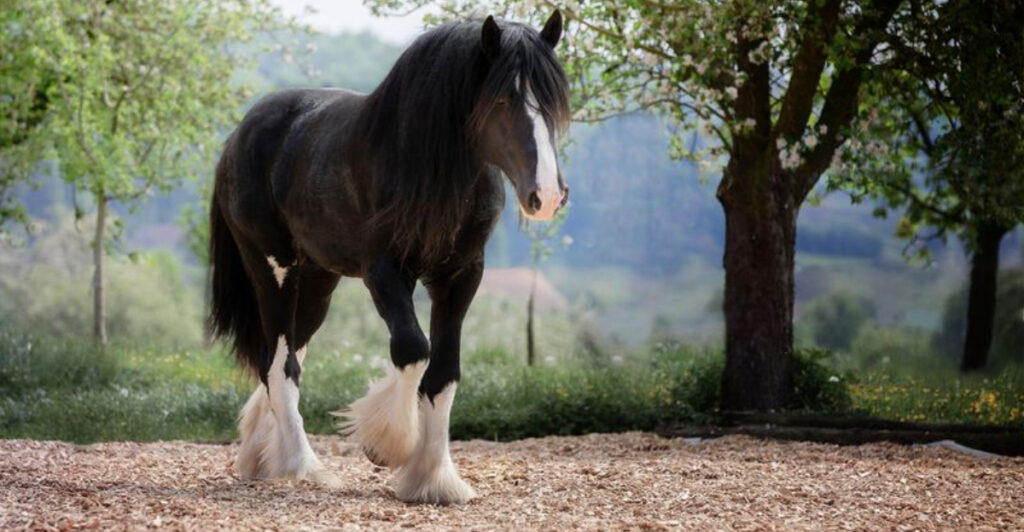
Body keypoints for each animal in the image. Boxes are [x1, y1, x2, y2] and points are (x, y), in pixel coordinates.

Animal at [207, 11, 570, 505]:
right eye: (501, 99)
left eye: (553, 102)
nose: (547, 196)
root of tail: (239, 135)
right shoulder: (383, 271)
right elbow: (413, 350)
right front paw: (388, 446)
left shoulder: (461, 275)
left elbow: (445, 373)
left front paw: (436, 478)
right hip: (273, 269)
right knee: (281, 364)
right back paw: (304, 466)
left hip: (316, 282)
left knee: (282, 358)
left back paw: (262, 456)